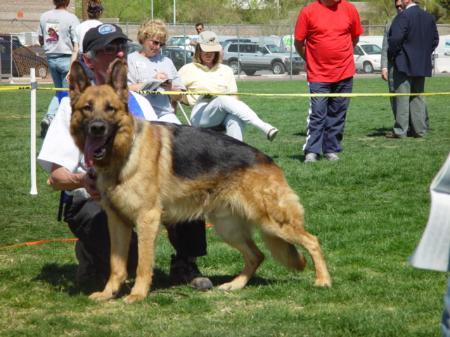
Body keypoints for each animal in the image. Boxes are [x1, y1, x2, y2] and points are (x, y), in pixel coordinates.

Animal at [68, 59, 332, 304]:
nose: (97, 128)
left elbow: (143, 263)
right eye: (87, 108)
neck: (125, 152)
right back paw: (236, 284)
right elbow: (117, 265)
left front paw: (138, 294)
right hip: (228, 228)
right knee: (257, 255)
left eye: (110, 109)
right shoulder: (117, 222)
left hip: (271, 222)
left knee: (313, 241)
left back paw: (323, 280)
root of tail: (268, 161)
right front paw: (108, 293)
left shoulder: (147, 220)